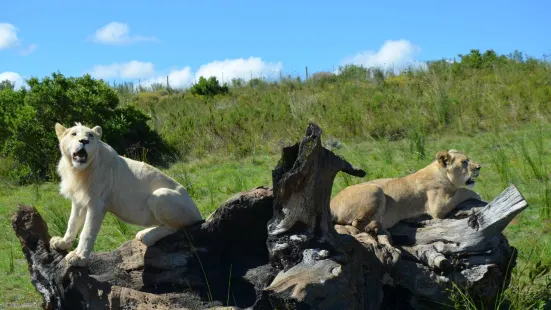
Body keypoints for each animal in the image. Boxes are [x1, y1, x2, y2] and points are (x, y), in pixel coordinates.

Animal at [50, 121, 203, 266]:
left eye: (90, 136)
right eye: (74, 134)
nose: (84, 141)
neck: (78, 171)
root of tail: (198, 212)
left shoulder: (97, 203)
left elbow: (87, 231)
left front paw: (79, 257)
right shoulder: (79, 200)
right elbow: (72, 223)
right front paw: (63, 243)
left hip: (160, 195)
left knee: (179, 227)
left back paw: (148, 236)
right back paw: (144, 232)